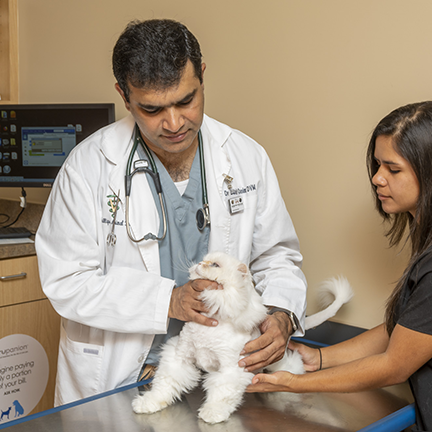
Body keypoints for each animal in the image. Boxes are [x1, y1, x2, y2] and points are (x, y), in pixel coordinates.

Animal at [132, 251, 354, 424]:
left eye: (215, 264)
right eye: (204, 260)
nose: (200, 263)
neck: (210, 322)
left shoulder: (232, 369)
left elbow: (222, 394)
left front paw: (213, 413)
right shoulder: (180, 358)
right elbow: (165, 385)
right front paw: (149, 403)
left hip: (281, 361)